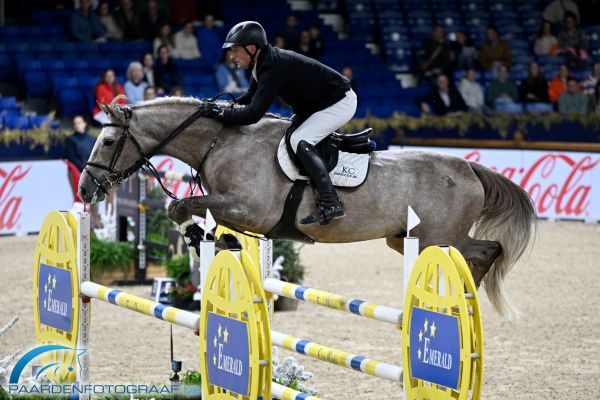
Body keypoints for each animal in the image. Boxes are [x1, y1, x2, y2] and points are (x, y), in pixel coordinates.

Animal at [78, 97, 536, 316]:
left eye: (107, 140)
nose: (85, 190)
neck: (220, 142)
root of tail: (469, 167)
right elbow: (189, 212)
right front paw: (214, 241)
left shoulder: (248, 209)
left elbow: (182, 209)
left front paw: (204, 239)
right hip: (406, 238)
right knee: (482, 251)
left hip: (436, 238)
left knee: (487, 250)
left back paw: (467, 293)